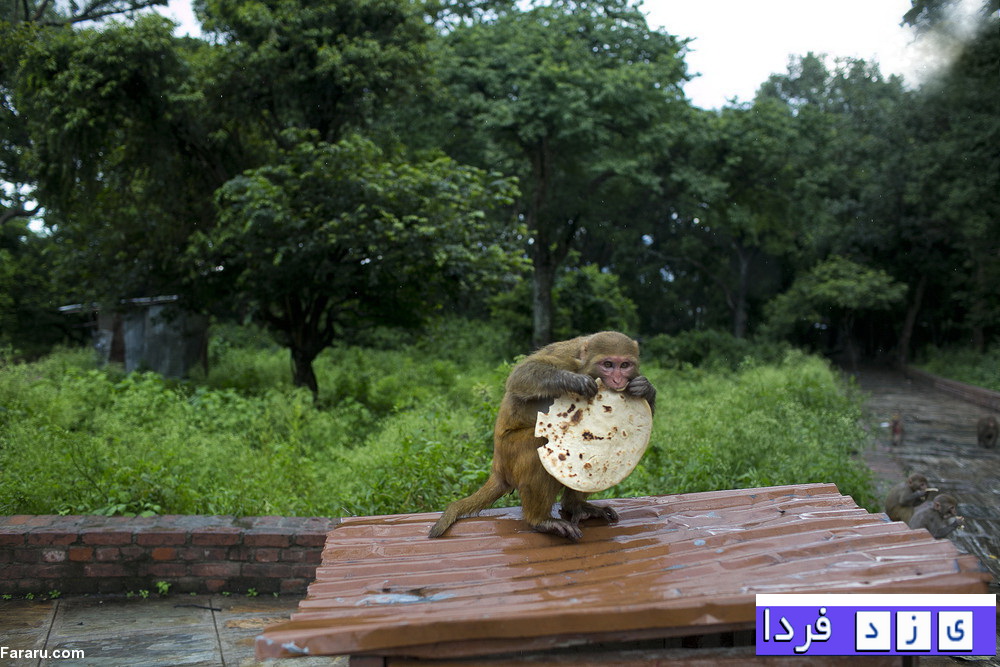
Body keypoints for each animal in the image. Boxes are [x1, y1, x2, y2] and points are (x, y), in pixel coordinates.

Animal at [428, 331, 656, 541]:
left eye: (625, 365)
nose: (617, 380)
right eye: (608, 364)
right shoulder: (565, 358)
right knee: (538, 445)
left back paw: (575, 506)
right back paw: (540, 521)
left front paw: (646, 389)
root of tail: (498, 468)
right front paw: (575, 381)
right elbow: (522, 374)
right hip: (509, 453)